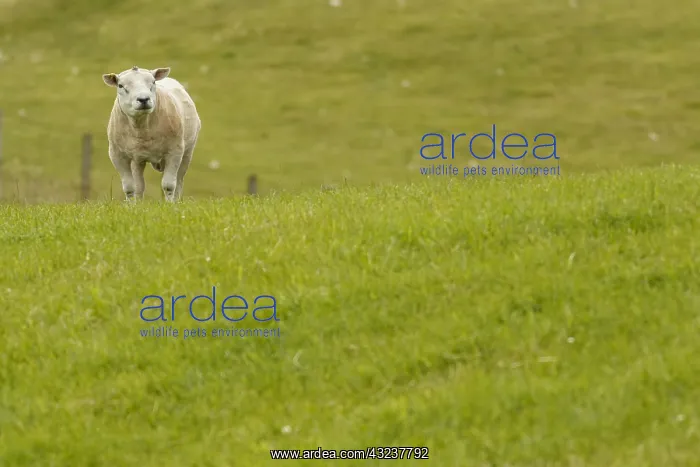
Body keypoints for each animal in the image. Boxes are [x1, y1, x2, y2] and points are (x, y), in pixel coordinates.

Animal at [102, 65, 201, 202]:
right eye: (120, 86)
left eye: (153, 82)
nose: (143, 99)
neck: (142, 129)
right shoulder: (116, 155)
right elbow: (129, 187)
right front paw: (131, 205)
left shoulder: (174, 151)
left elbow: (169, 185)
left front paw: (169, 205)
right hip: (137, 160)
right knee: (139, 185)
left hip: (187, 152)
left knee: (179, 182)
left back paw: (176, 201)